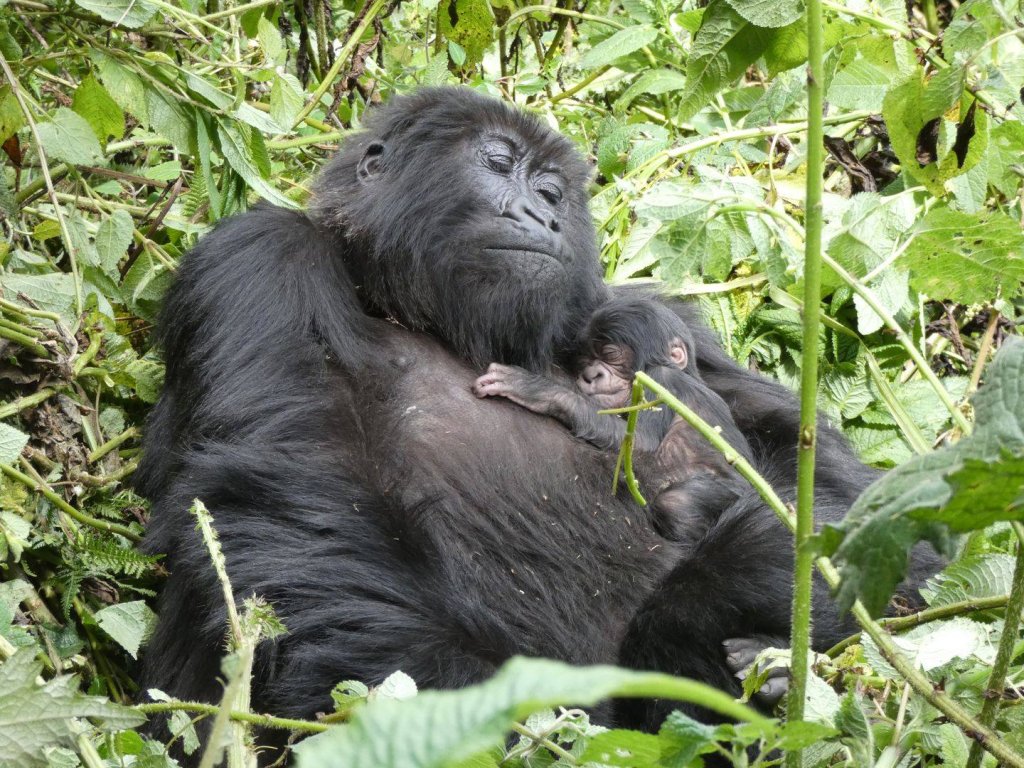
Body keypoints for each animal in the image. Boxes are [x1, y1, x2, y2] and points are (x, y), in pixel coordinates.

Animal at [471, 296, 753, 544]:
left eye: (610, 355)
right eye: (586, 358)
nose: (591, 373)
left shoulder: (662, 381)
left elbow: (641, 442)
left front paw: (537, 389)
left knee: (677, 507)